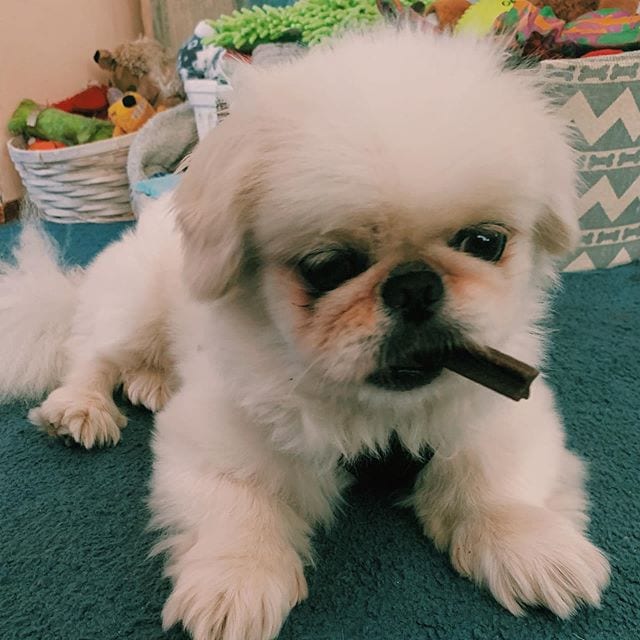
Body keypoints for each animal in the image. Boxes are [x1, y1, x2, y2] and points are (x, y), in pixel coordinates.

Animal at [0, 27, 608, 640]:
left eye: (485, 242)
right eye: (327, 267)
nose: (414, 286)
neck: (378, 412)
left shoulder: (508, 414)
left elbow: (499, 485)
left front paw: (534, 549)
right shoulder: (216, 436)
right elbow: (239, 507)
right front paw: (236, 582)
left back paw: (153, 383)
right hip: (132, 305)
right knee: (90, 356)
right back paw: (79, 410)